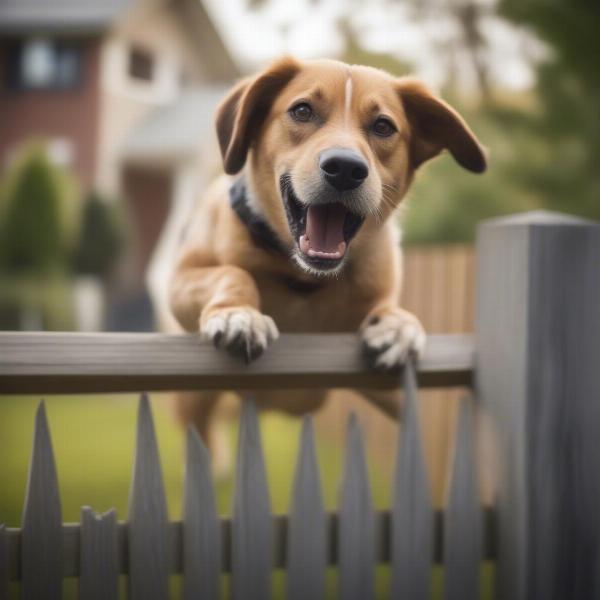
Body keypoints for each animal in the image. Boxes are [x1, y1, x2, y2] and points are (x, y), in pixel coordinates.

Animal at [166, 57, 486, 450]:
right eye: (302, 111)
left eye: (383, 126)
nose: (346, 168)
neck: (304, 280)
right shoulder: (182, 283)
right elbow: (231, 272)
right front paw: (238, 313)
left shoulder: (399, 396)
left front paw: (400, 326)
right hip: (192, 401)